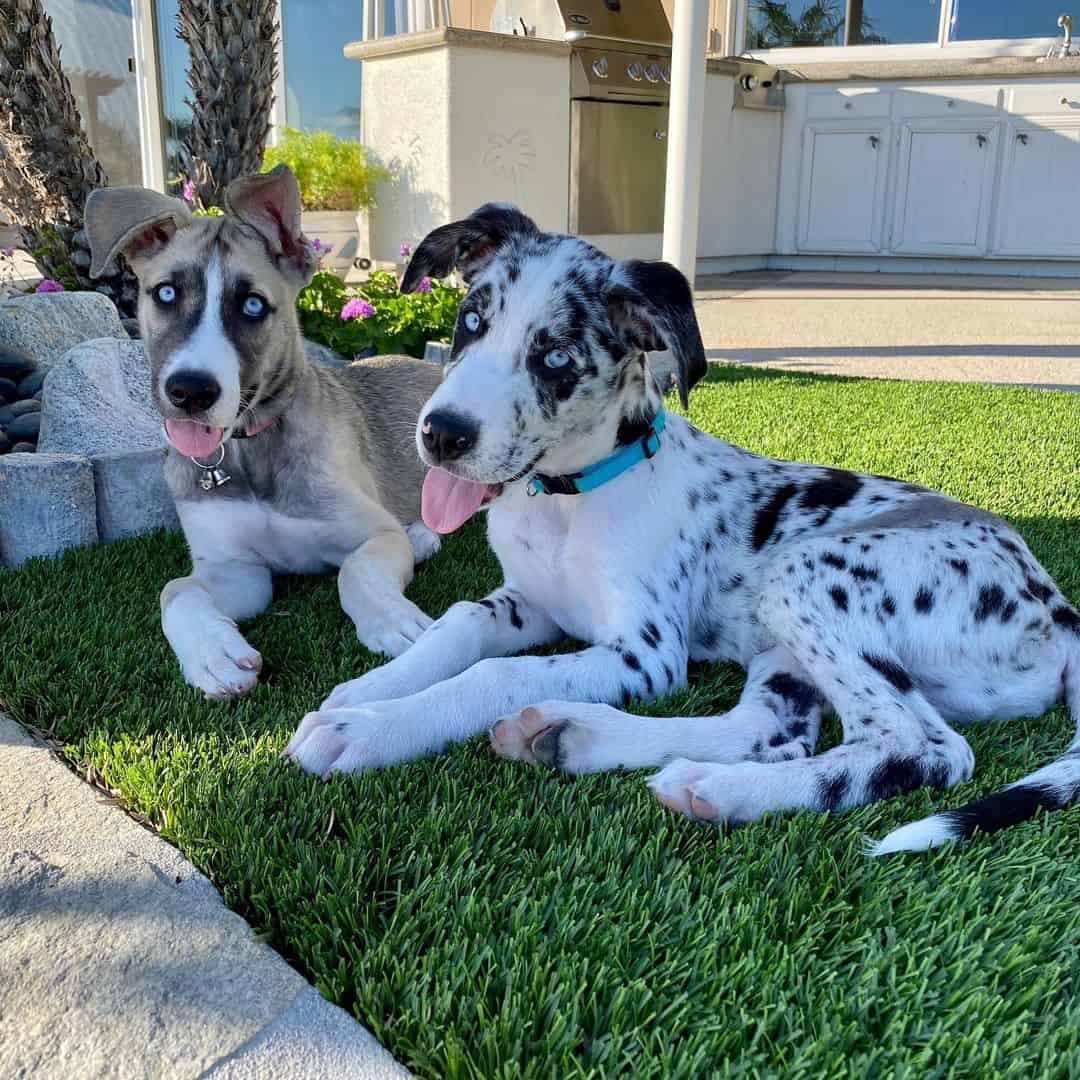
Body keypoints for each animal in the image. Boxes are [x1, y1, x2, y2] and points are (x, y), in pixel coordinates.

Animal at [83, 164, 438, 695]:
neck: (252, 452)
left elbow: (354, 571)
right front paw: (213, 654)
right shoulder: (238, 571)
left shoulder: (374, 533)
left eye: (252, 305)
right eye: (165, 293)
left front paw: (395, 622)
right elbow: (176, 589)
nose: (190, 392)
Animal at [287, 206, 1080, 855]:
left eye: (555, 356)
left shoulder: (648, 655)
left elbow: (496, 674)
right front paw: (370, 690)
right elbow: (455, 627)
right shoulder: (527, 602)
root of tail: (1057, 606)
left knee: (926, 748)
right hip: (783, 645)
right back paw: (582, 738)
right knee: (774, 732)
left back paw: (720, 788)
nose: (440, 434)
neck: (570, 500)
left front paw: (370, 730)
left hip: (807, 576)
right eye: (472, 321)